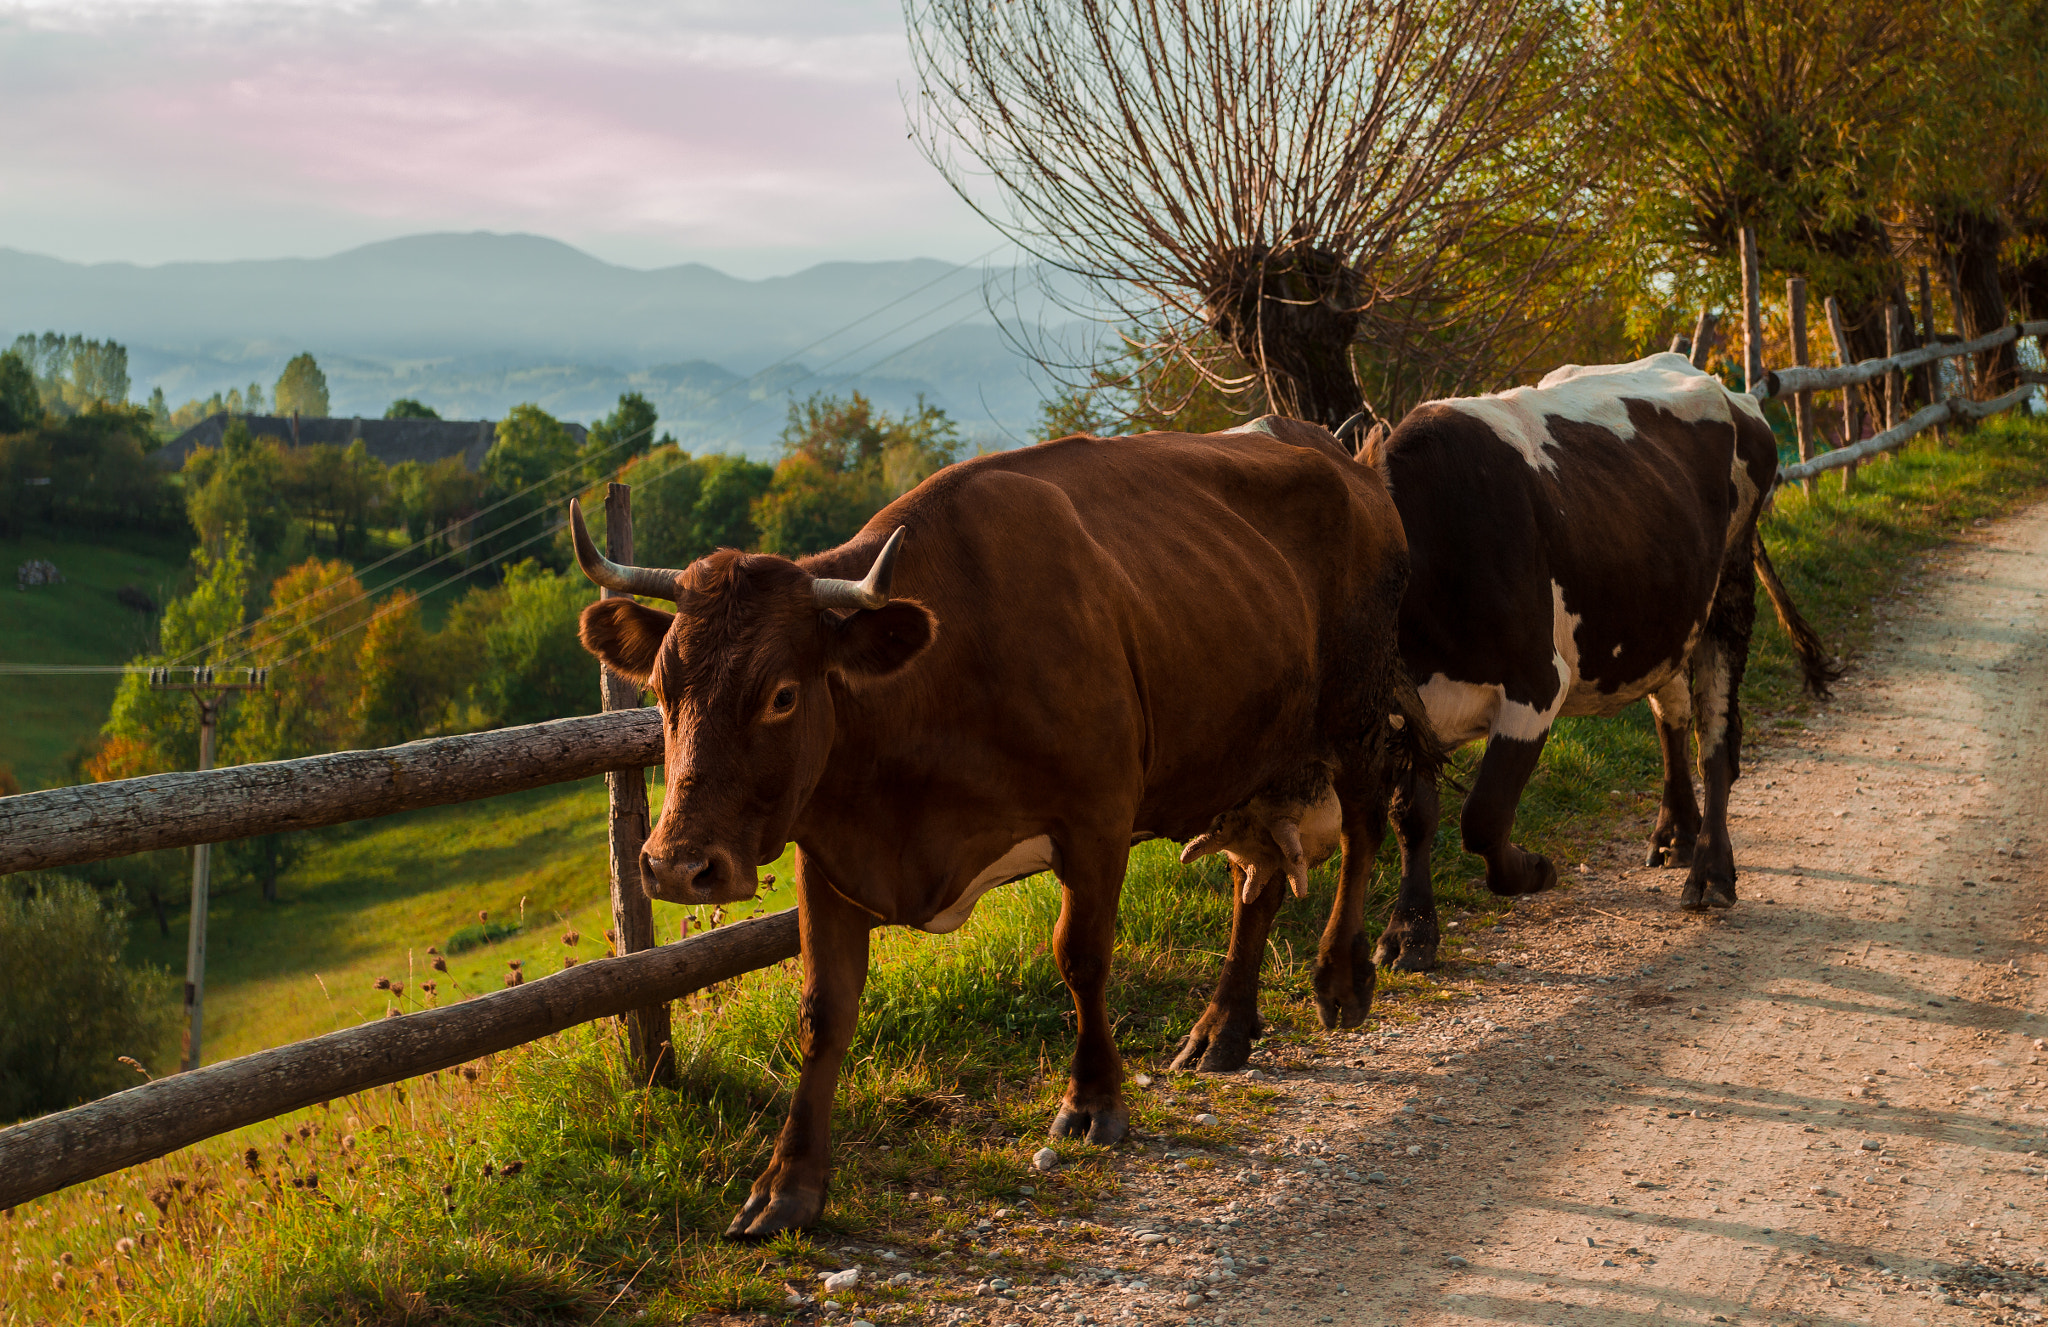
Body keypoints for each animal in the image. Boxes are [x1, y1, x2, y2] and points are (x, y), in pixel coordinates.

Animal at [569, 419, 1433, 1236]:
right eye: (662, 686)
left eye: (782, 694)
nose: (678, 866)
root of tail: (1349, 462)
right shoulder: (828, 852)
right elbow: (824, 1010)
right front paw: (787, 1186)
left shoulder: (1097, 815)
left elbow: (1081, 956)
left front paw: (1092, 1101)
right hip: (1247, 755)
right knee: (1255, 883)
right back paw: (1221, 1030)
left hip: (1355, 710)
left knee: (1364, 827)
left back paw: (1342, 976)